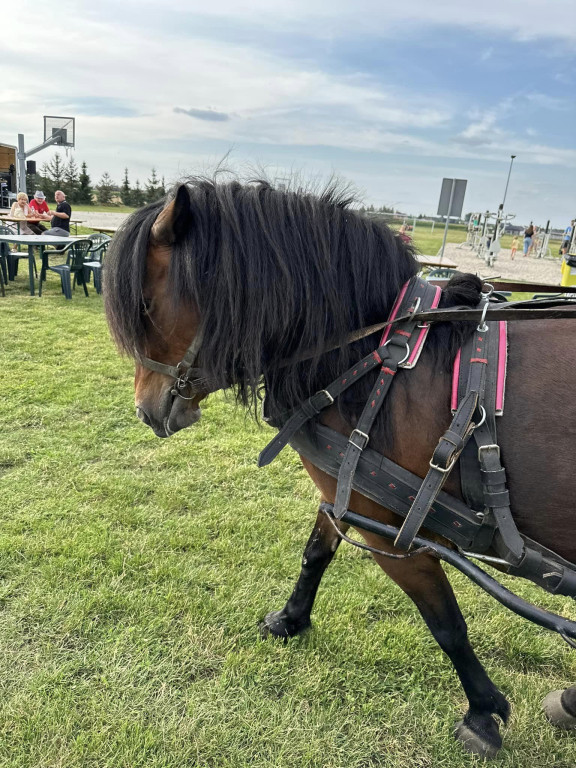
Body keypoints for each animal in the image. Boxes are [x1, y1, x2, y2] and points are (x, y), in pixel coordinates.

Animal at [104, 178, 576, 756]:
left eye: (145, 306)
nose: (145, 410)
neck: (377, 353)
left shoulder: (394, 532)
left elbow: (446, 622)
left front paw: (483, 711)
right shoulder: (346, 485)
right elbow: (315, 553)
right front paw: (290, 618)